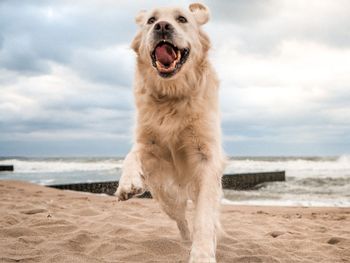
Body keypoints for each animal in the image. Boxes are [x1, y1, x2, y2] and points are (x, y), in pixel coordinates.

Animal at [115, 3, 224, 262]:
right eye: (151, 20)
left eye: (182, 19)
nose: (162, 26)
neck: (172, 94)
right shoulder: (150, 144)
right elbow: (132, 153)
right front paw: (128, 183)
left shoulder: (207, 157)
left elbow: (205, 215)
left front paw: (202, 253)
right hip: (167, 196)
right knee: (181, 218)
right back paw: (185, 239)